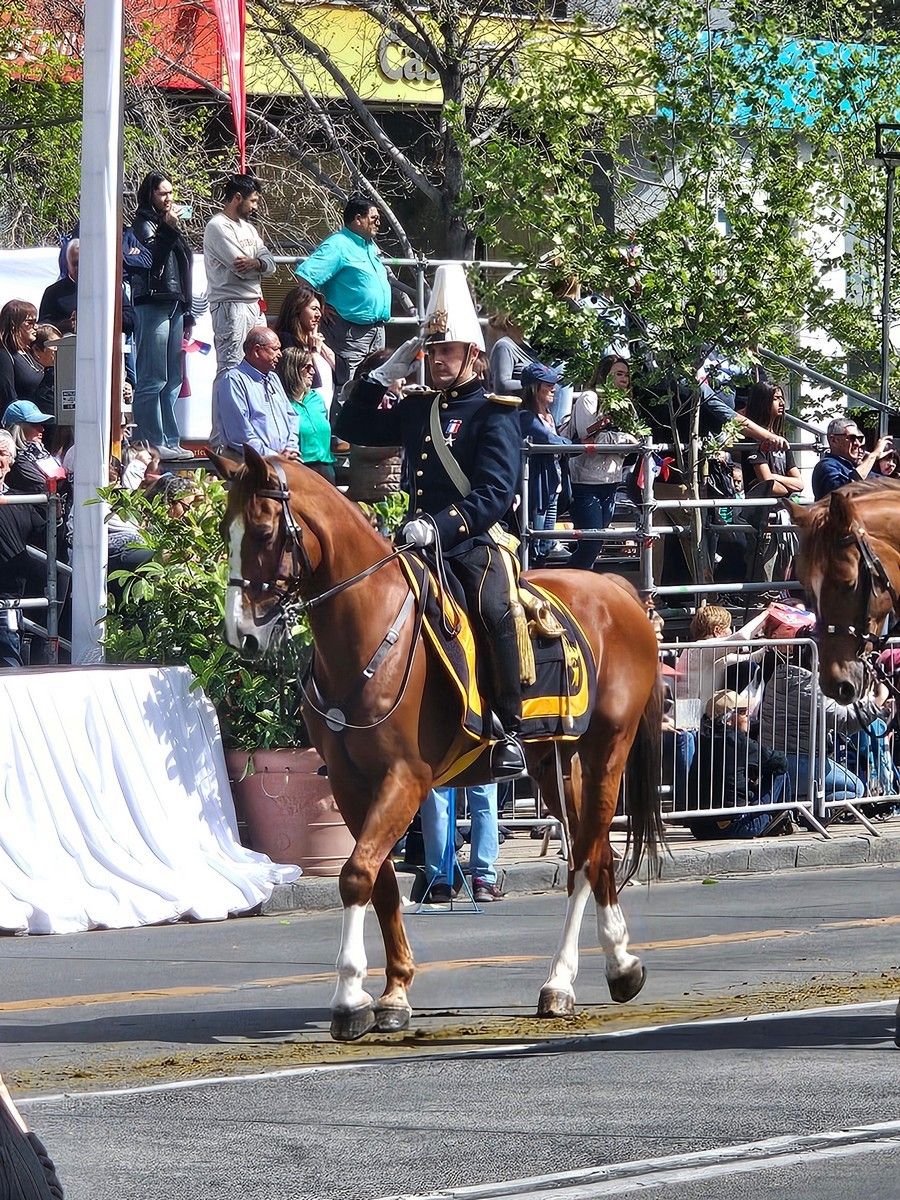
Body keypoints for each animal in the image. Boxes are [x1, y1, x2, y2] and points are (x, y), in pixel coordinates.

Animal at [211, 448, 662, 1041]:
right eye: (226, 529)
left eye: (263, 532)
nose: (242, 635)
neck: (369, 631)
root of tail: (618, 589)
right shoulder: (352, 785)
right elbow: (378, 879)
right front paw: (393, 992)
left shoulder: (406, 777)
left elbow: (355, 875)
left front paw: (349, 996)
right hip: (554, 762)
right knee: (600, 850)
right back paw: (620, 966)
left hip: (607, 748)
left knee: (587, 855)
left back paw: (560, 982)